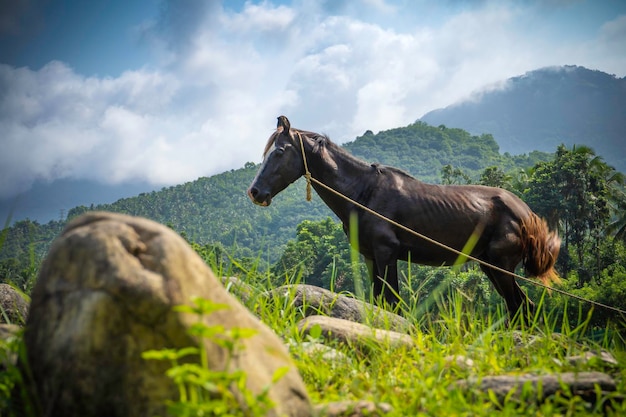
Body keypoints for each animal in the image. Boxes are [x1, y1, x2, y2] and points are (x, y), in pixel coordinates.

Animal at [246, 115, 560, 320]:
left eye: (280, 152)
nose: (255, 192)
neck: (364, 193)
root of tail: (525, 213)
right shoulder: (373, 257)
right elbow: (380, 303)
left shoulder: (387, 253)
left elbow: (391, 304)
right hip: (490, 266)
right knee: (521, 307)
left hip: (502, 266)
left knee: (521, 307)